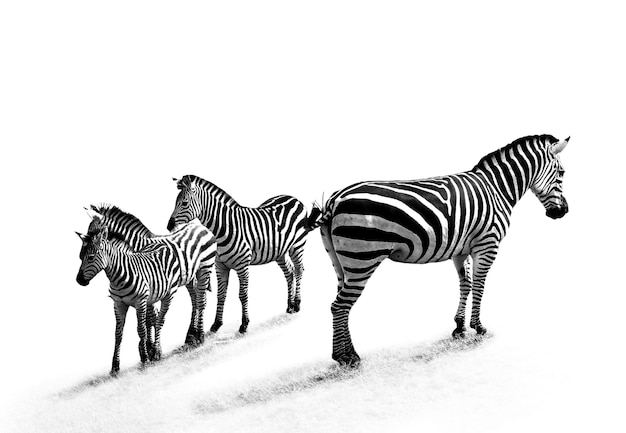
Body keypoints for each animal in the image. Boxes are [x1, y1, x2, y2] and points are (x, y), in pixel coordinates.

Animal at [76, 216, 214, 372]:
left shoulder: (141, 300)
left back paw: (197, 336)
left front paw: (146, 356)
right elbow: (118, 333)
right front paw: (115, 365)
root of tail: (198, 225)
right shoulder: (119, 303)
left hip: (199, 272)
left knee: (195, 304)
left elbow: (142, 328)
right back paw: (191, 335)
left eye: (91, 257)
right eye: (80, 256)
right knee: (195, 301)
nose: (79, 280)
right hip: (189, 278)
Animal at [168, 174, 312, 332]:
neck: (224, 228)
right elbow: (221, 294)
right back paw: (289, 305)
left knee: (299, 269)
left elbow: (243, 295)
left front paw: (244, 324)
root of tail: (294, 198)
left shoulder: (242, 265)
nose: (169, 225)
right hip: (279, 252)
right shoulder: (220, 266)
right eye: (175, 202)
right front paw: (216, 324)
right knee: (289, 273)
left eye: (184, 203)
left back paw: (297, 303)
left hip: (297, 245)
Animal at [304, 134, 568, 364]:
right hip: (362, 259)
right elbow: (480, 285)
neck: (497, 189)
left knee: (341, 305)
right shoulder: (487, 244)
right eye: (563, 173)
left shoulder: (461, 249)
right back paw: (345, 358)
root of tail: (335, 199)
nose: (563, 212)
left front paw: (459, 326)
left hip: (341, 263)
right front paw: (478, 327)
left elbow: (466, 284)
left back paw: (348, 353)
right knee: (340, 306)